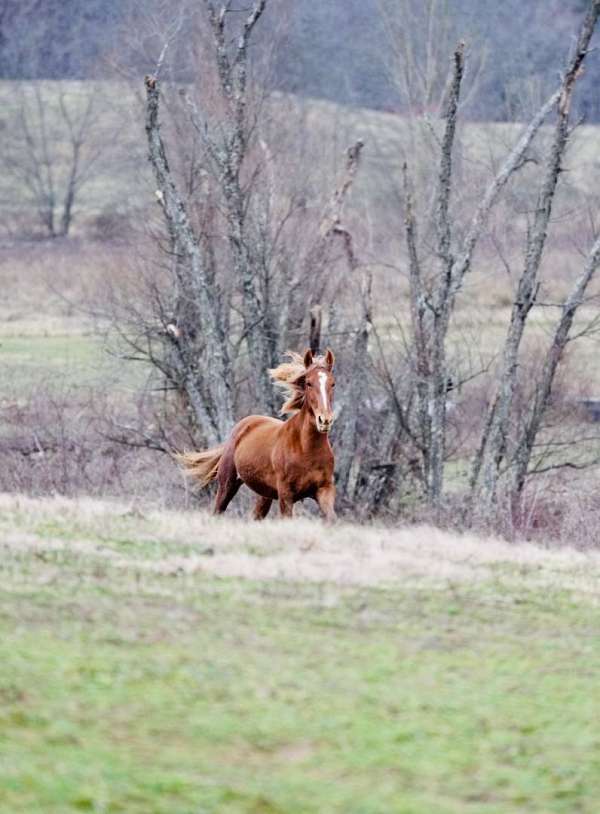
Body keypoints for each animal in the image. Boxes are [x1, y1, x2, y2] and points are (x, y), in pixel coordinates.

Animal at [178, 348, 338, 520]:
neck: (306, 449)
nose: (325, 420)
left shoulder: (324, 490)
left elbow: (332, 519)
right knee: (218, 511)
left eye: (333, 383)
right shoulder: (286, 495)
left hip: (264, 494)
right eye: (308, 383)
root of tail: (241, 426)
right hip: (227, 484)